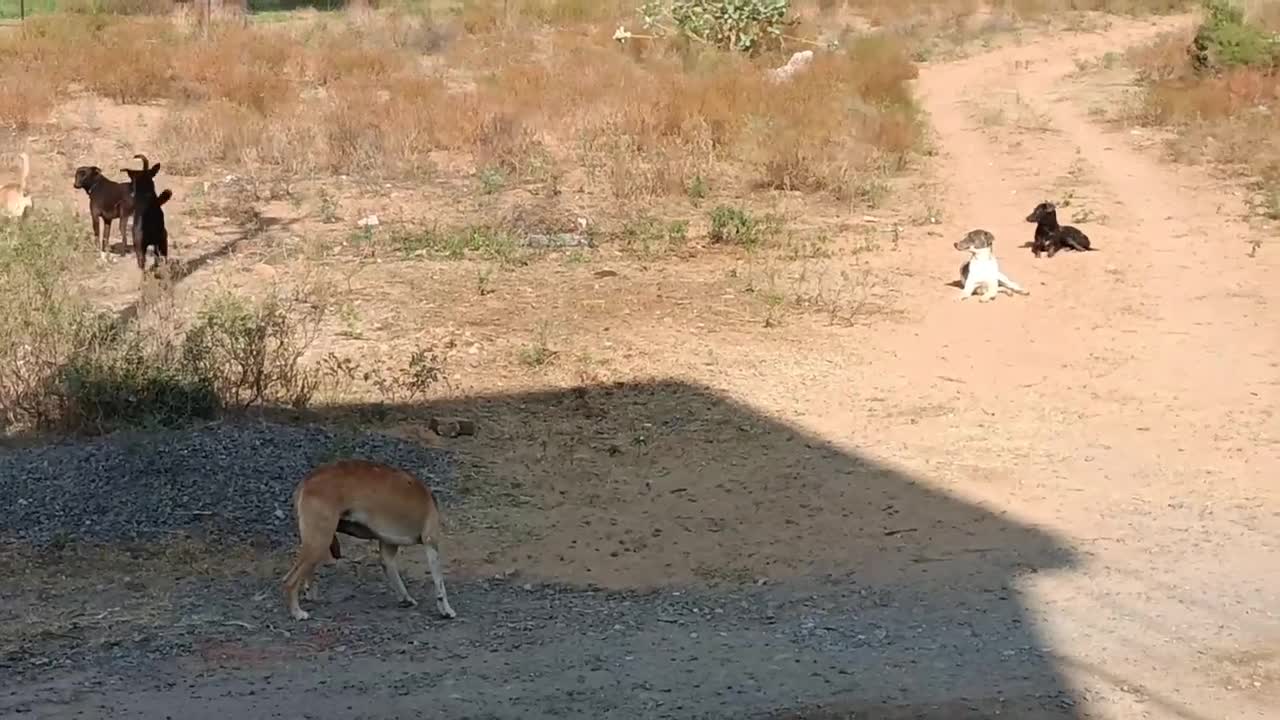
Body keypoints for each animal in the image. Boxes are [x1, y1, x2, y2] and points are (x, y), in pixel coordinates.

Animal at [285, 461, 460, 620]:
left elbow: (395, 578)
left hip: (317, 543)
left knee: (307, 574)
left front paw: (405, 599)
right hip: (319, 542)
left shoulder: (388, 549)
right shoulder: (431, 543)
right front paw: (446, 610)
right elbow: (440, 586)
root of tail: (307, 480)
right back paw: (297, 613)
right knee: (290, 581)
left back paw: (310, 594)